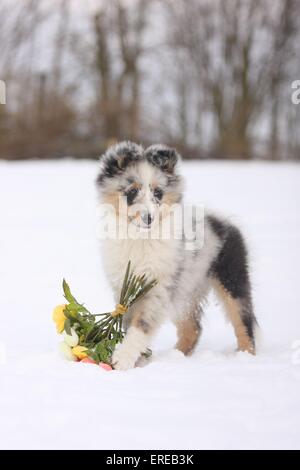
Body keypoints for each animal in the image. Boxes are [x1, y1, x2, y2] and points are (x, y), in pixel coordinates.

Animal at [96, 141, 258, 370]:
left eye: (158, 192)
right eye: (132, 191)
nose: (149, 218)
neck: (140, 238)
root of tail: (224, 222)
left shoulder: (159, 287)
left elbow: (142, 324)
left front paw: (123, 358)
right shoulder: (124, 287)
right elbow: (128, 321)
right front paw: (139, 358)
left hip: (231, 279)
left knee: (243, 320)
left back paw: (246, 358)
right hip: (186, 290)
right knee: (193, 327)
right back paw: (176, 356)